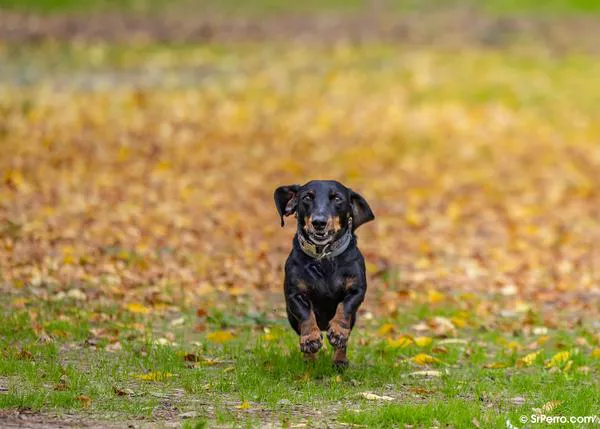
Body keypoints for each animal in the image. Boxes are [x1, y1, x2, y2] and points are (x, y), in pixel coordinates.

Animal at [274, 179, 372, 366]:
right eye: (307, 197)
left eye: (337, 198)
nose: (319, 222)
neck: (324, 258)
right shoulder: (295, 295)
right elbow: (306, 314)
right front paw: (310, 339)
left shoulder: (356, 290)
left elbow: (345, 307)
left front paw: (338, 332)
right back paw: (309, 360)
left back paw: (340, 359)